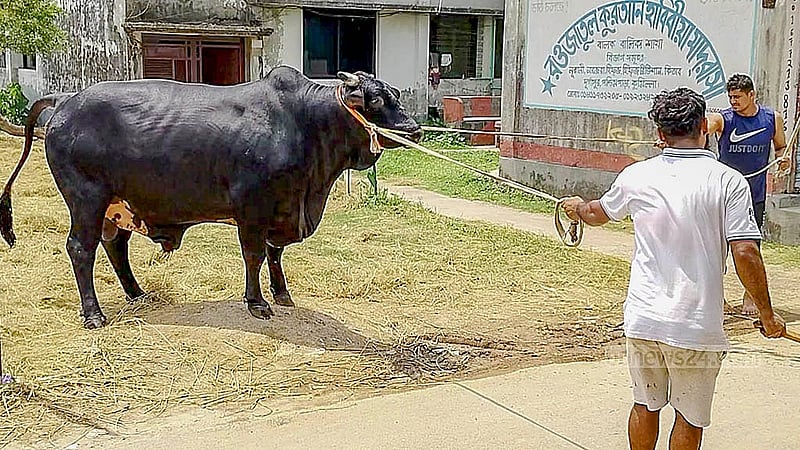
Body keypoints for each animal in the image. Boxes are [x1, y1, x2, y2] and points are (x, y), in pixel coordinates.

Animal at [0, 65, 422, 329]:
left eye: (395, 95)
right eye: (375, 100)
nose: (414, 130)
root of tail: (66, 99)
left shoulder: (282, 209)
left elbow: (275, 254)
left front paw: (282, 294)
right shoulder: (253, 207)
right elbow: (254, 255)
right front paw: (257, 303)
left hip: (116, 205)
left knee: (115, 246)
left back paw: (138, 294)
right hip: (86, 199)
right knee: (81, 249)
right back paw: (94, 315)